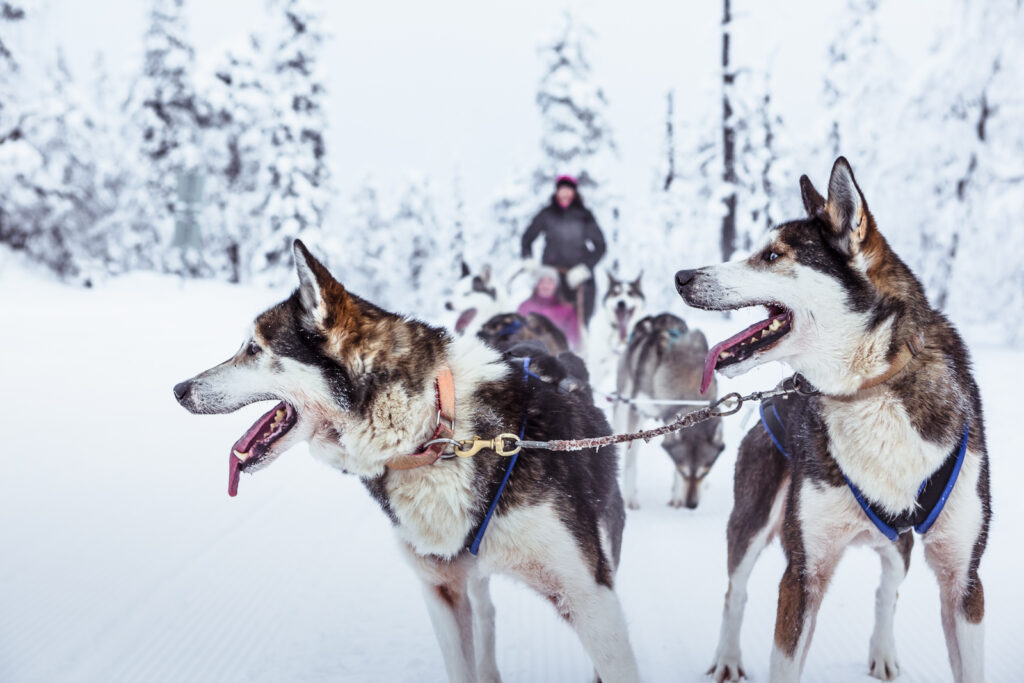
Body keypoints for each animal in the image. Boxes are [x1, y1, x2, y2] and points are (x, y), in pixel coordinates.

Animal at [173, 241, 640, 683]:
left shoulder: (590, 597)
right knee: (485, 613)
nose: (178, 389)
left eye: (253, 348)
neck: (436, 431)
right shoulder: (441, 591)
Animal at [613, 313, 724, 510]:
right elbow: (631, 461)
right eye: (683, 470)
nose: (691, 505)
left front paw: (677, 497)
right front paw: (629, 497)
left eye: (705, 471)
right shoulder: (636, 411)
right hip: (624, 403)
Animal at [676, 158, 990, 682]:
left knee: (888, 588)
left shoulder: (964, 578)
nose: (681, 276)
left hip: (897, 547)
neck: (871, 389)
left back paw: (883, 651)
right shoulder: (803, 573)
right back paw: (728, 659)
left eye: (772, 255)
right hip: (752, 518)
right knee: (735, 591)